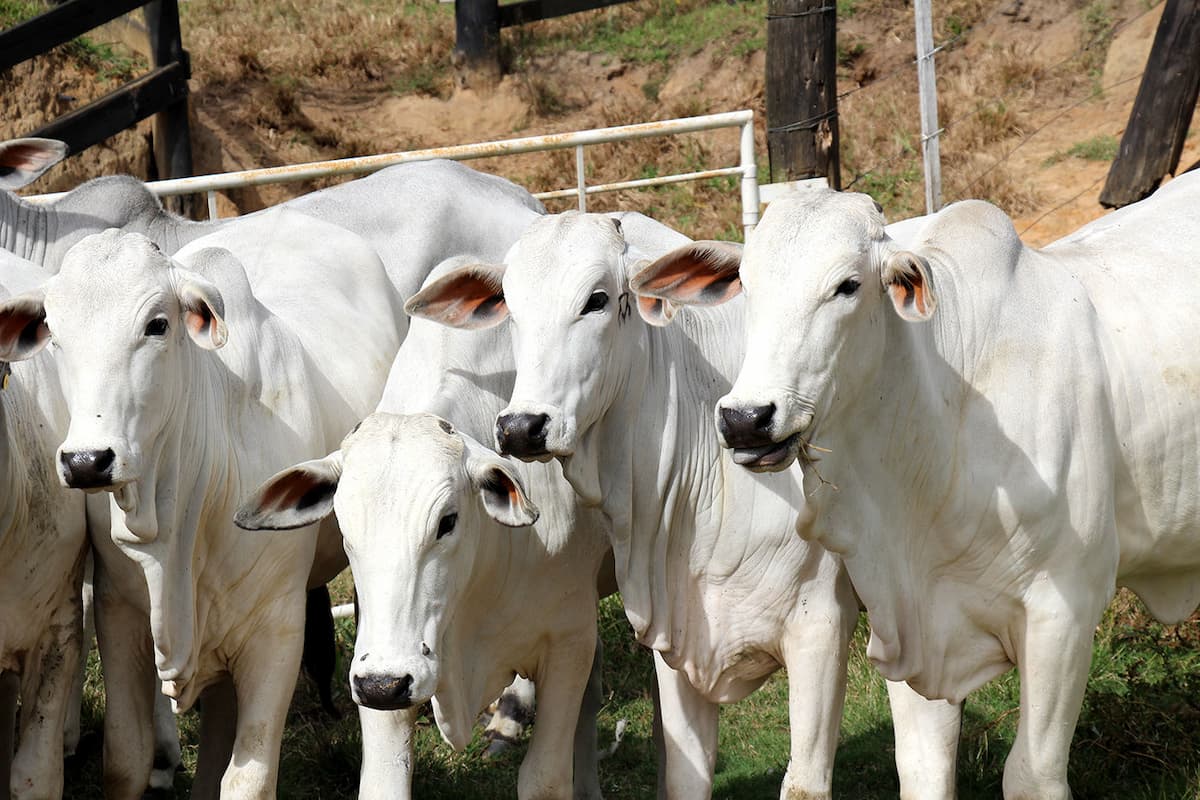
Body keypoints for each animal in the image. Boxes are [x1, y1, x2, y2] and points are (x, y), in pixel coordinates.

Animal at [0, 212, 398, 800]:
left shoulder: (278, 630)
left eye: (157, 325)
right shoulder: (120, 613)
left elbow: (248, 780)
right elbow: (127, 758)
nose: (87, 461)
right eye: (56, 333)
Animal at [408, 212, 960, 800]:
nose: (521, 427)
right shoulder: (673, 634)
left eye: (597, 299)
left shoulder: (821, 626)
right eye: (510, 305)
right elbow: (684, 773)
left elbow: (805, 782)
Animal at [628, 172, 1200, 796]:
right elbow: (923, 766)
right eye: (747, 286)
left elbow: (1031, 774)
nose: (746, 419)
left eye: (848, 285)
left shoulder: (1065, 613)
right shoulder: (907, 622)